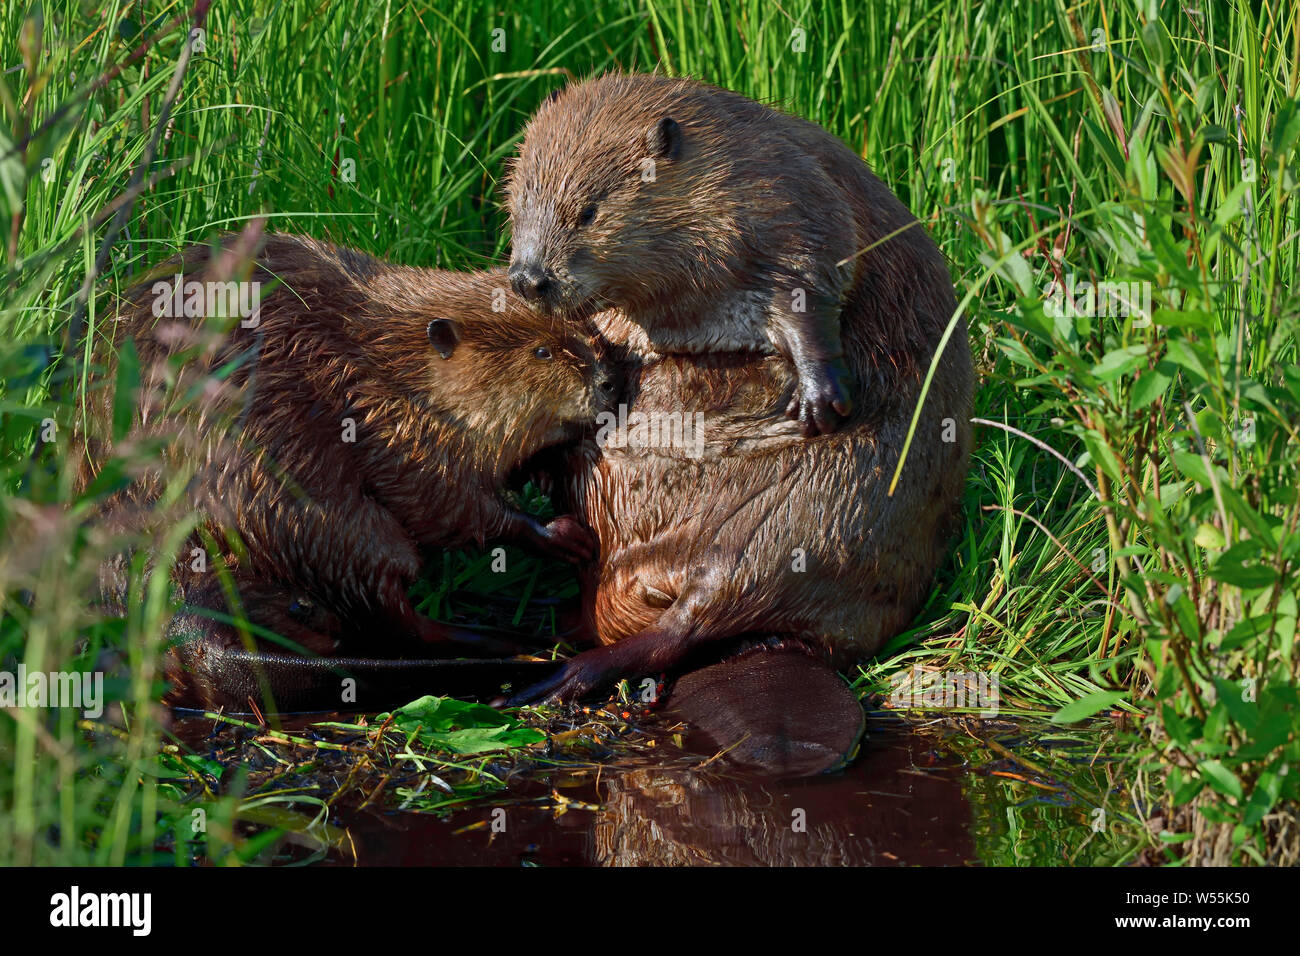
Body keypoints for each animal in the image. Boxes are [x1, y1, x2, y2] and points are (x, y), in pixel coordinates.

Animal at [78, 235, 616, 707]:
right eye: (541, 352)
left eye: (578, 334)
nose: (609, 381)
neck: (385, 355)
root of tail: (177, 606)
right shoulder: (388, 419)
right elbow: (440, 501)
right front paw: (562, 534)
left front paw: (544, 469)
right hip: (313, 509)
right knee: (392, 609)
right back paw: (515, 642)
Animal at [501, 72, 930, 434]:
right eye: (517, 205)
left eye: (588, 212)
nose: (528, 279)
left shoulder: (789, 199)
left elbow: (812, 283)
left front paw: (819, 405)